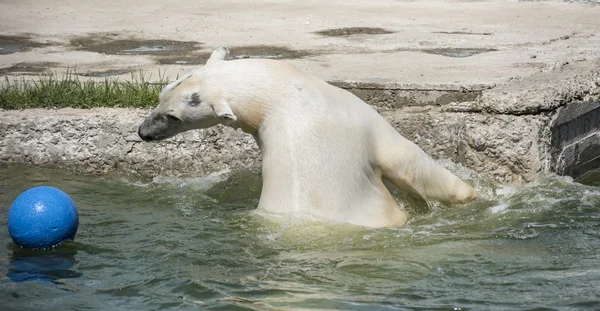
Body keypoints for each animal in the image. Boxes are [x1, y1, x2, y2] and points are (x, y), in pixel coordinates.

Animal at [137, 48, 478, 229]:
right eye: (163, 99)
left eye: (170, 112)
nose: (144, 132)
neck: (281, 95)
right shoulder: (355, 115)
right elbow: (406, 159)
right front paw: (470, 195)